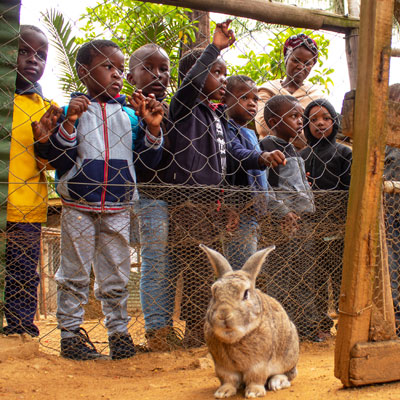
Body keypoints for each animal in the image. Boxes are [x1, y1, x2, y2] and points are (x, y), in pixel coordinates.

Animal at [202, 244, 298, 396]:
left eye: (246, 293)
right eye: (214, 293)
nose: (223, 315)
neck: (235, 339)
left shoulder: (259, 364)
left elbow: (255, 378)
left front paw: (254, 392)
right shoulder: (223, 367)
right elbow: (228, 379)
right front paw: (222, 392)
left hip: (289, 354)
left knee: (288, 374)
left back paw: (277, 383)